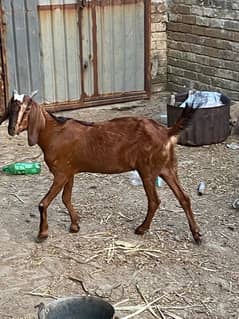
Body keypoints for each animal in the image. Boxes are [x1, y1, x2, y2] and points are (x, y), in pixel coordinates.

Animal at [4, 92, 201, 245]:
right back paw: (197, 234)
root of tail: (167, 132)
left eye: (27, 109)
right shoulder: (69, 172)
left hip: (147, 170)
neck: (54, 133)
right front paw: (75, 225)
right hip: (168, 168)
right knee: (184, 197)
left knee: (155, 201)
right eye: (11, 109)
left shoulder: (61, 173)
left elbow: (43, 203)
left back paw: (142, 228)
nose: (12, 129)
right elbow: (66, 198)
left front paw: (42, 234)